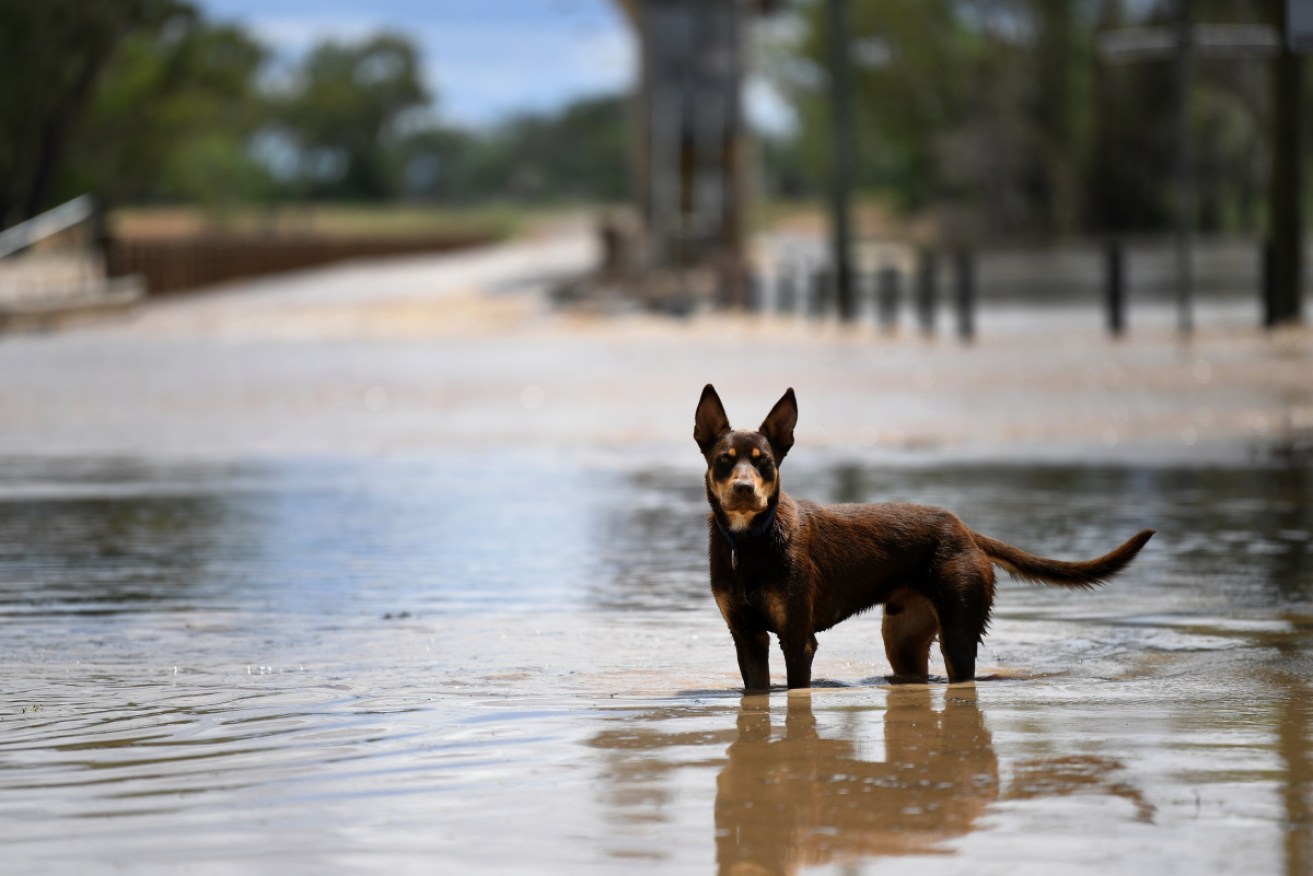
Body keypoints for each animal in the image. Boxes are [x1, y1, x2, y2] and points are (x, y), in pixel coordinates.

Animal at [693, 386, 1155, 693]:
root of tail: (964, 529)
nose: (744, 489)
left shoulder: (797, 638)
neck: (748, 544)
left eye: (764, 463)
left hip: (959, 628)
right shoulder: (747, 635)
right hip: (903, 638)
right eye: (724, 461)